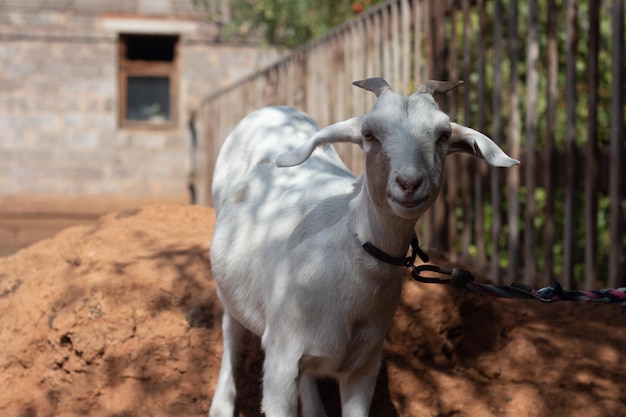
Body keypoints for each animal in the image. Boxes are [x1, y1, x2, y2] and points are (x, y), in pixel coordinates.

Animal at [207, 78, 516, 416]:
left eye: (444, 135)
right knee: (231, 329)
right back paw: (221, 405)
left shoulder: (364, 365)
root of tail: (272, 108)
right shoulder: (280, 361)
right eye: (369, 134)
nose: (409, 183)